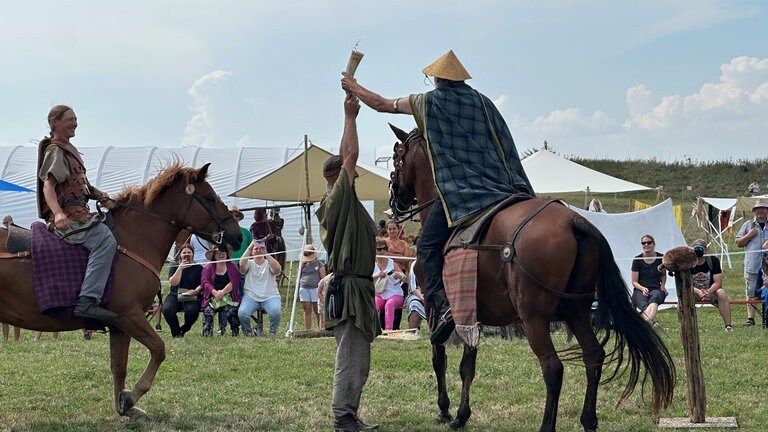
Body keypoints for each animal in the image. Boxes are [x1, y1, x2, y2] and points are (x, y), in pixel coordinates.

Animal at [0, 162, 242, 418]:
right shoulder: (129, 316)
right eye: (210, 198)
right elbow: (159, 349)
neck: (134, 239)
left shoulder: (119, 326)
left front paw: (125, 405)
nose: (236, 235)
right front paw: (130, 397)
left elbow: (119, 366)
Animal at [388, 125, 676, 432]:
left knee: (553, 368)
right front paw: (462, 415)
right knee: (593, 355)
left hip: (535, 317)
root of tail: (575, 221)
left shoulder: (434, 306)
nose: (395, 201)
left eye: (397, 158)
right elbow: (468, 365)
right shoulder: (468, 312)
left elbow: (439, 358)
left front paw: (445, 410)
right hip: (576, 310)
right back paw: (588, 419)